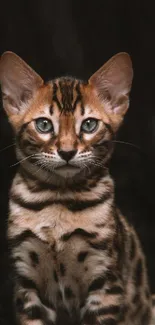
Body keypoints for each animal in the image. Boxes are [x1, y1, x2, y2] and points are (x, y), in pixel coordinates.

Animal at [0, 52, 154, 322]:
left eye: (89, 125)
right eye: (44, 125)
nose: (67, 151)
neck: (57, 200)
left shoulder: (105, 284)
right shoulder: (26, 282)